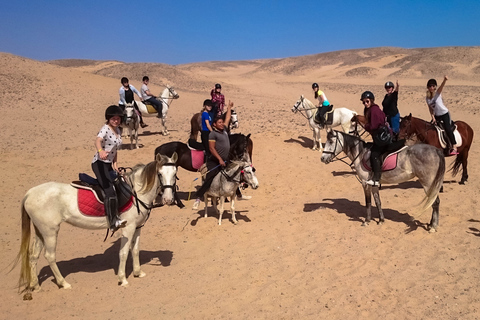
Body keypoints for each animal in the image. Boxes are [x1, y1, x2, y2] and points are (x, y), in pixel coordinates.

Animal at [16, 152, 180, 296]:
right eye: (160, 174)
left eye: (175, 174)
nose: (168, 199)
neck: (135, 192)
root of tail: (29, 193)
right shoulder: (128, 228)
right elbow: (124, 252)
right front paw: (123, 279)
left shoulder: (138, 227)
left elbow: (135, 250)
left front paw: (138, 272)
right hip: (50, 232)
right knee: (50, 256)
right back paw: (63, 283)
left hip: (40, 231)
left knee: (33, 256)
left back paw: (36, 285)